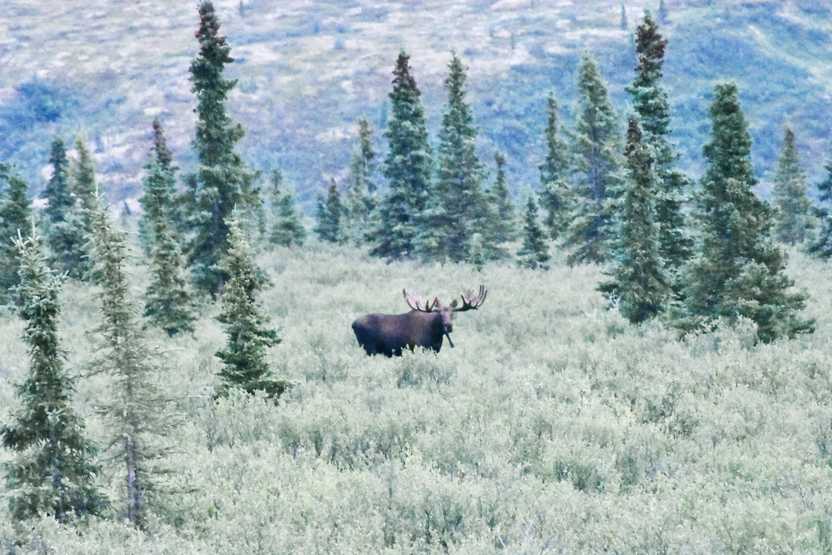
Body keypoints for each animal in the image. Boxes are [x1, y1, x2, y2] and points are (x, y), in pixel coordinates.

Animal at [351, 285, 488, 357]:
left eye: (452, 313)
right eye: (439, 314)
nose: (448, 326)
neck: (436, 335)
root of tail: (353, 324)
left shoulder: (435, 351)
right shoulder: (418, 348)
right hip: (369, 348)